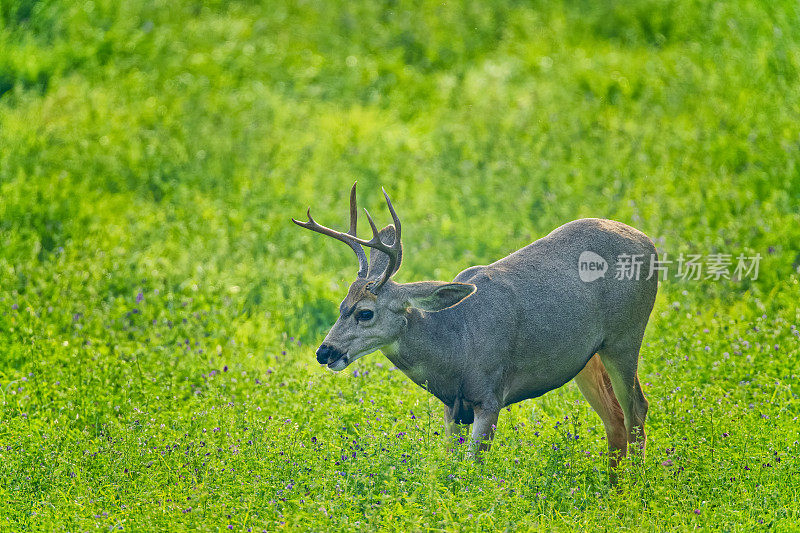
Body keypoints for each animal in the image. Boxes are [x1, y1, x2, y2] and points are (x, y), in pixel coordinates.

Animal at [294, 184, 656, 482]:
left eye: (365, 313)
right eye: (341, 305)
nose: (324, 352)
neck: (456, 346)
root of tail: (649, 241)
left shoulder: (491, 395)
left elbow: (473, 469)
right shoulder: (452, 409)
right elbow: (451, 466)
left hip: (626, 336)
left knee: (637, 407)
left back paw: (634, 486)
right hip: (588, 356)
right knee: (614, 416)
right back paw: (613, 486)